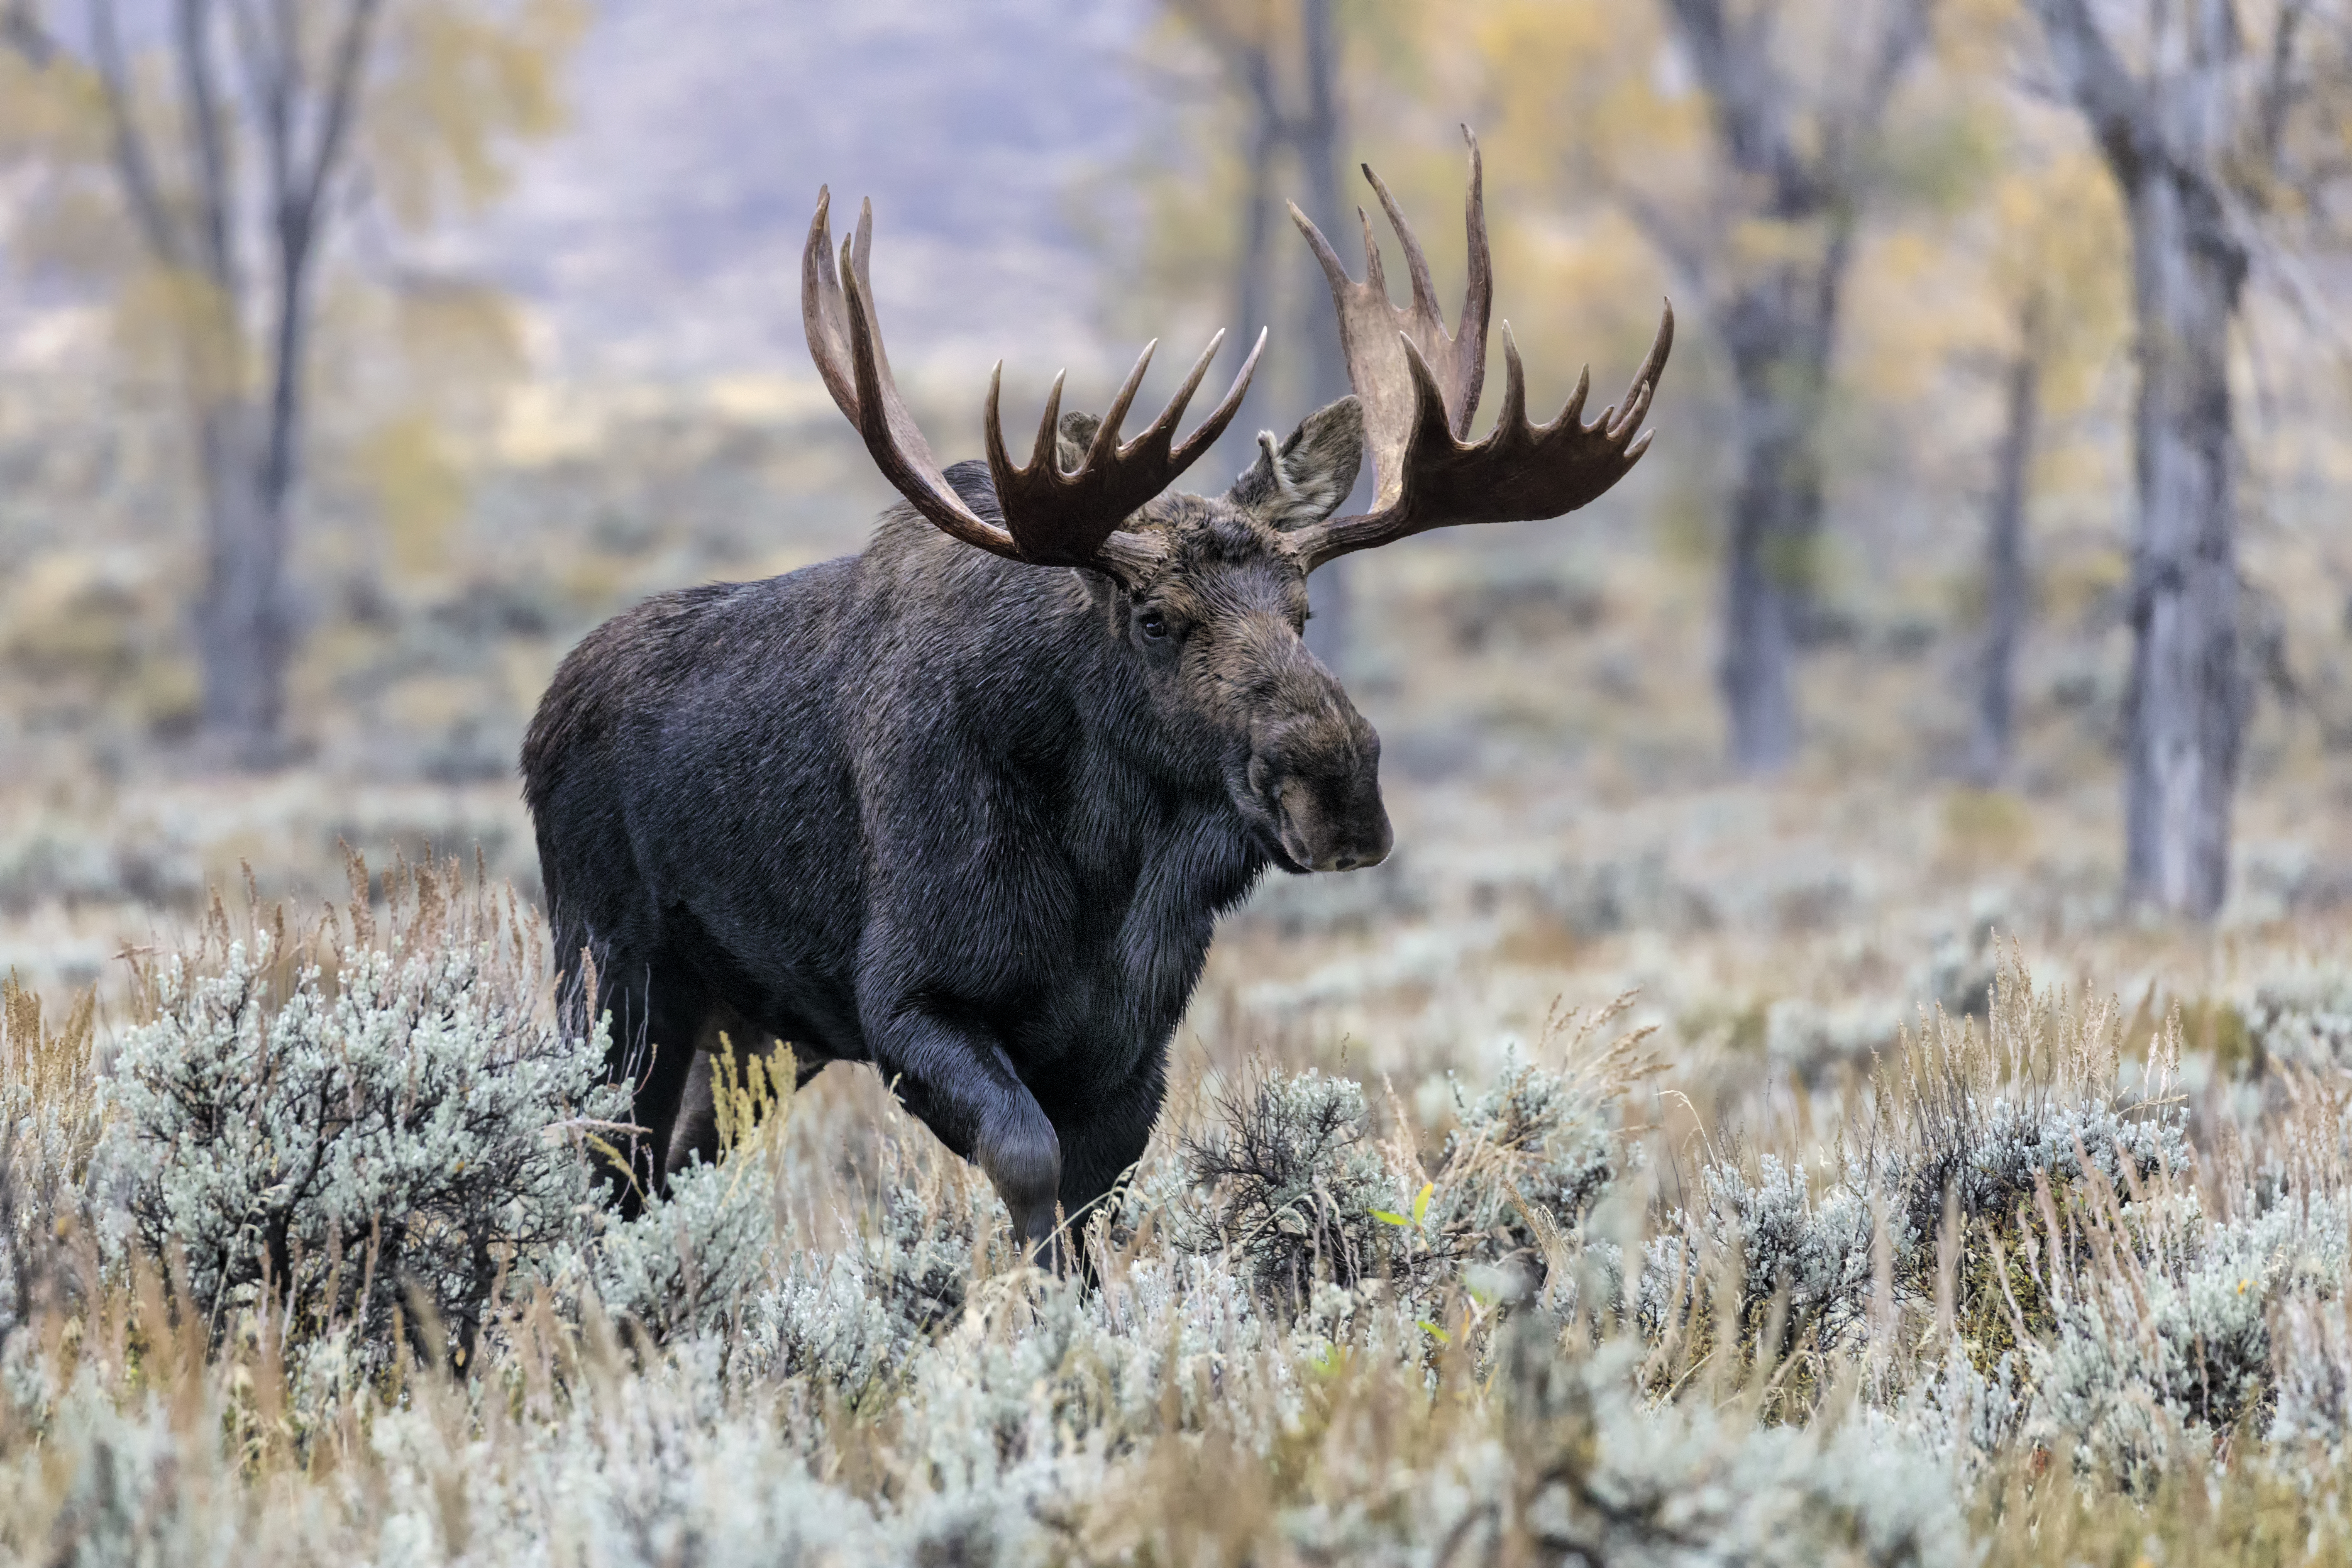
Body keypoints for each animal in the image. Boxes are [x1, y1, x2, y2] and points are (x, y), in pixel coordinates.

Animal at [521, 131, 1670, 1267]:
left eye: (1303, 610)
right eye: (1155, 617)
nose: (1338, 790)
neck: (1106, 875)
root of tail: (542, 718)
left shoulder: (1130, 1043)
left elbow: (1090, 1202)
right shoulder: (905, 997)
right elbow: (1029, 1170)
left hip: (753, 1031)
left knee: (664, 1167)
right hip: (614, 973)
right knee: (604, 1158)